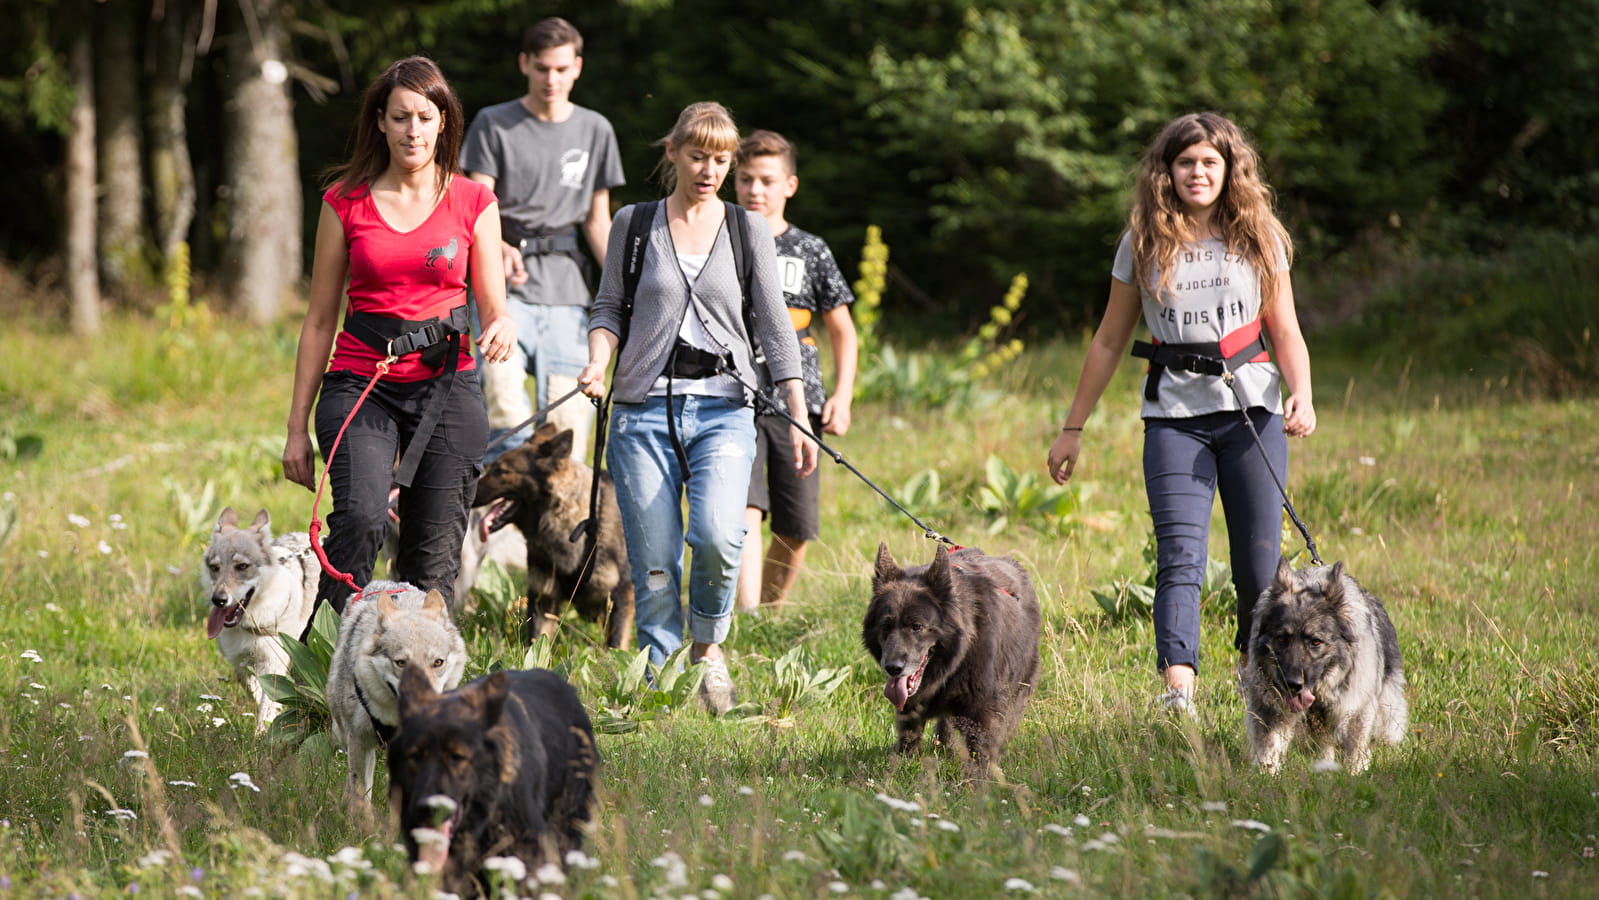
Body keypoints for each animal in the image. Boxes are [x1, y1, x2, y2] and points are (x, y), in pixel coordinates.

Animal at [201, 508, 316, 732]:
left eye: (242, 566)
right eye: (214, 567)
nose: (218, 599)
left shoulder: (274, 661)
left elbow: (267, 704)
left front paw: (262, 735)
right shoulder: (239, 660)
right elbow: (253, 688)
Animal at [863, 543, 1048, 783]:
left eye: (917, 626)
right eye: (885, 626)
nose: (893, 668)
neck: (957, 657)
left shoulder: (983, 712)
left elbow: (980, 754)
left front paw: (979, 783)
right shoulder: (910, 709)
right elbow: (909, 740)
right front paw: (898, 771)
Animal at [1240, 556, 1407, 773]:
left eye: (1316, 642)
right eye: (1282, 639)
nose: (1293, 684)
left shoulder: (1354, 710)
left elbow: (1355, 750)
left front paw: (1355, 774)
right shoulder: (1271, 710)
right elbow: (1269, 746)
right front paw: (1266, 775)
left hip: (1385, 715)